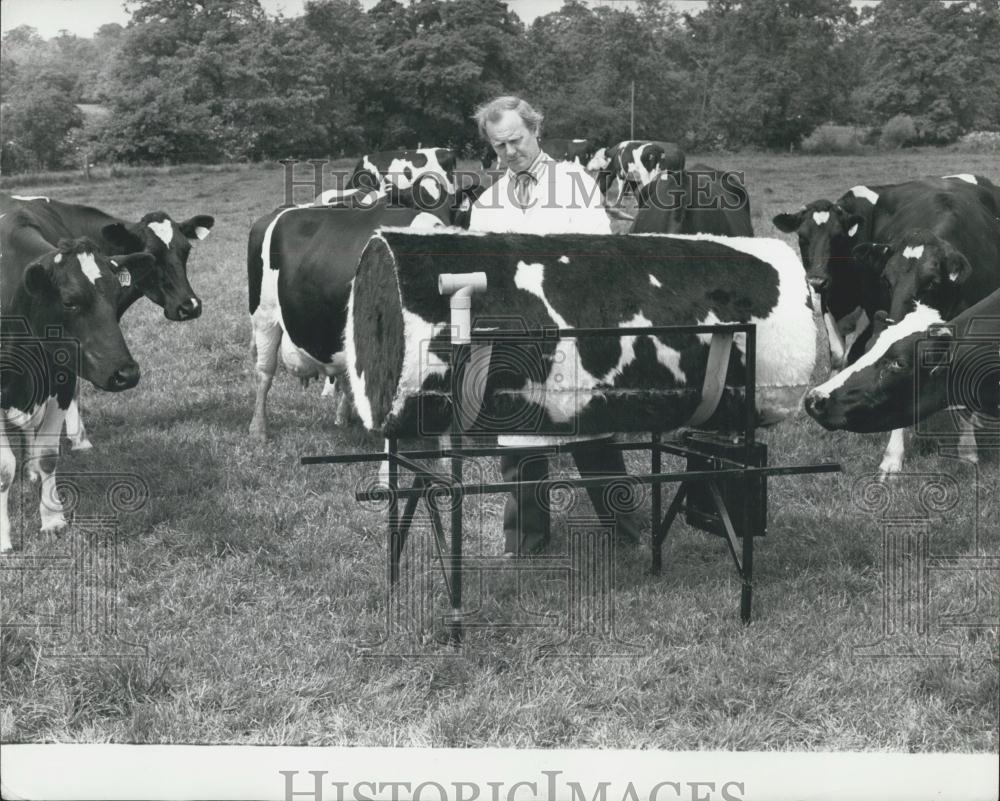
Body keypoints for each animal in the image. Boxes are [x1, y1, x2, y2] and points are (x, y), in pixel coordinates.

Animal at [0, 233, 154, 552]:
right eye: (69, 302)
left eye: (118, 297)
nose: (126, 373)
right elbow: (4, 469)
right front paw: (3, 537)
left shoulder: (63, 383)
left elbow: (47, 456)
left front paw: (52, 519)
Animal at [250, 178, 484, 438]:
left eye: (453, 209)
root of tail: (276, 213)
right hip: (264, 316)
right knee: (264, 371)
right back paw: (258, 429)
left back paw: (343, 417)